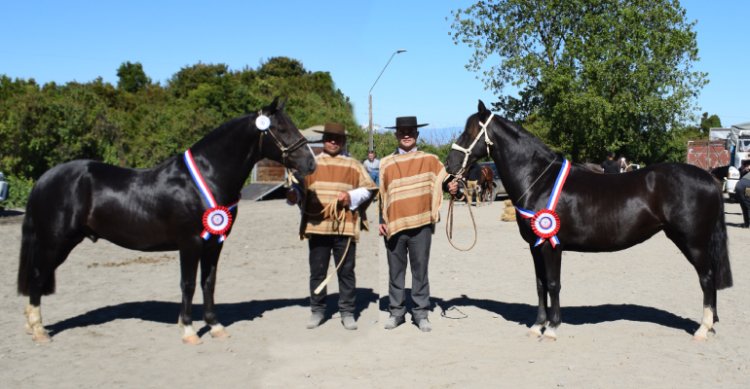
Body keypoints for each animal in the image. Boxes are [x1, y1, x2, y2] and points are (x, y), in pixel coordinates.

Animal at [16, 97, 318, 342]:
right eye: (281, 129)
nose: (310, 163)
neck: (204, 177)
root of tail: (46, 178)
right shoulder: (190, 243)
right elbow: (187, 284)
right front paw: (188, 330)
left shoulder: (214, 244)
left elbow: (208, 282)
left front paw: (215, 326)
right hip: (55, 241)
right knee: (38, 275)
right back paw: (39, 330)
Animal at [446, 100, 736, 340]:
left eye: (469, 133)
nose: (450, 165)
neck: (539, 180)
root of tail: (709, 177)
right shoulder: (535, 246)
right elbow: (540, 285)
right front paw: (537, 325)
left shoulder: (552, 245)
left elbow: (553, 284)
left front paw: (552, 328)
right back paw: (711, 325)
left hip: (693, 242)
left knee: (707, 278)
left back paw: (703, 328)